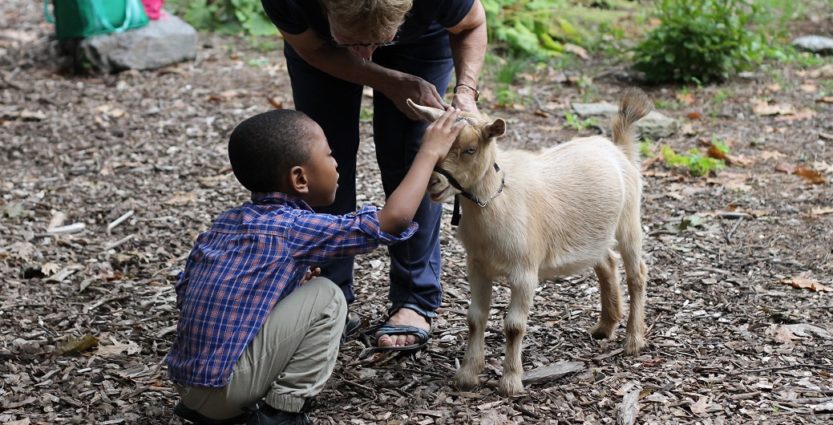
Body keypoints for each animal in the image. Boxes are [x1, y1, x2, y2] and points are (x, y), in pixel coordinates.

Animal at [406, 90, 652, 398]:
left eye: (470, 149)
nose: (433, 183)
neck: (498, 199)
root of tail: (619, 149)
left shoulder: (524, 271)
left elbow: (514, 325)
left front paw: (511, 382)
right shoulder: (476, 265)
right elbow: (475, 317)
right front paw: (467, 375)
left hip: (629, 220)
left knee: (637, 273)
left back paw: (634, 341)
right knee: (607, 262)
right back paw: (604, 327)